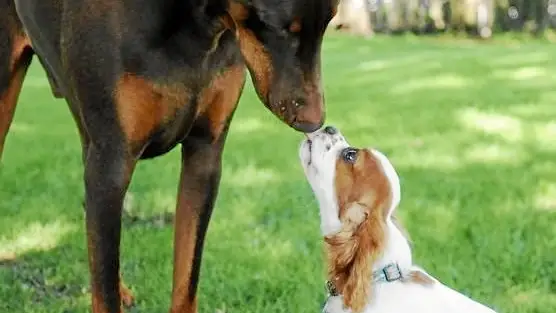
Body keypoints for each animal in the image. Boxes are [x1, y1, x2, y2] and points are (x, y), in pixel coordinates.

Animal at [0, 0, 338, 310]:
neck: (195, 26)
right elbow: (105, 290)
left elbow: (187, 274)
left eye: (330, 21)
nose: (315, 122)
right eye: (277, 26)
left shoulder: (204, 157)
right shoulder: (111, 164)